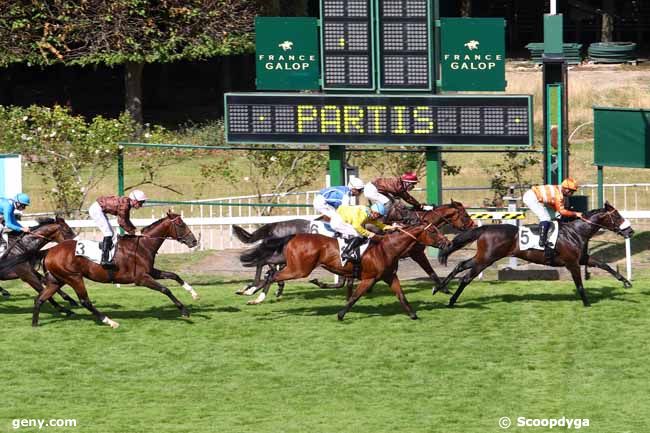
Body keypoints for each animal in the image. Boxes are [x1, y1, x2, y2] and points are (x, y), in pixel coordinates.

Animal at [27, 213, 199, 328]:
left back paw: (35, 324)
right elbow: (165, 289)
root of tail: (49, 251)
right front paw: (184, 311)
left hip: (57, 280)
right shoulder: (141, 279)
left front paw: (193, 293)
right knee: (85, 301)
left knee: (39, 299)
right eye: (181, 224)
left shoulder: (150, 271)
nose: (194, 241)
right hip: (74, 277)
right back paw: (109, 321)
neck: (143, 245)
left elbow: (174, 275)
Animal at [239, 223, 450, 320]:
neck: (386, 248)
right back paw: (256, 297)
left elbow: (401, 296)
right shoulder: (369, 278)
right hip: (299, 269)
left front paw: (413, 315)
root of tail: (294, 236)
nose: (446, 243)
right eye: (433, 231)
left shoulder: (390, 276)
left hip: (289, 263)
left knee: (266, 265)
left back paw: (251, 290)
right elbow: (355, 296)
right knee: (272, 274)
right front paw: (341, 314)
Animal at [432, 202, 632, 308]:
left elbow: (605, 265)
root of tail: (485, 228)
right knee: (466, 277)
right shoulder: (572, 263)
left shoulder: (582, 259)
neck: (576, 232)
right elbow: (580, 285)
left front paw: (626, 282)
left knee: (461, 265)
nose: (630, 231)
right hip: (486, 259)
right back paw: (451, 300)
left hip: (483, 257)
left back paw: (439, 288)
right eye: (617, 216)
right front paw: (587, 303)